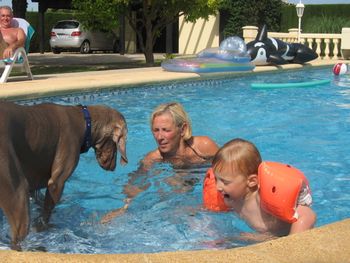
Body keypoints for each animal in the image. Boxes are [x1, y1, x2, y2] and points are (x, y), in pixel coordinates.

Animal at [0, 101, 128, 252]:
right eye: (116, 144)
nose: (113, 167)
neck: (85, 121)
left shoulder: (37, 185)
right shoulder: (56, 183)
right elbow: (45, 215)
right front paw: (42, 227)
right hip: (18, 195)